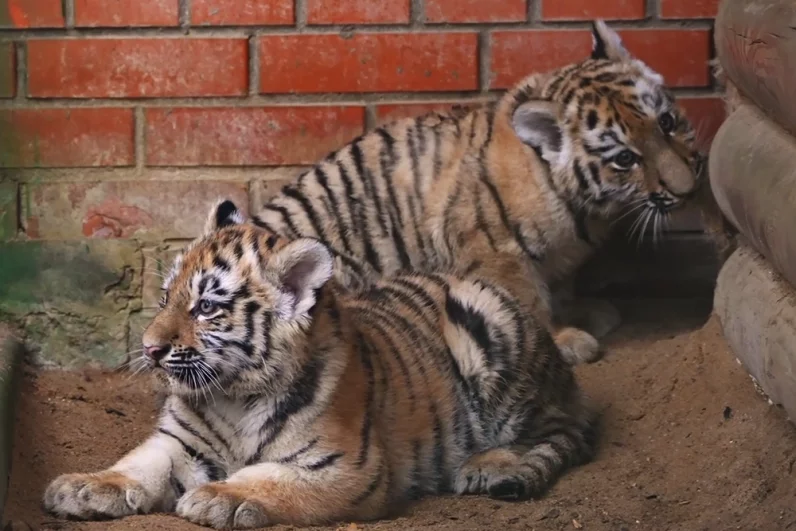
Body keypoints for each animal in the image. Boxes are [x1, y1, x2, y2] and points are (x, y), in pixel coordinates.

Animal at [42, 199, 597, 529]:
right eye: (165, 298)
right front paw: (84, 487)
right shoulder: (176, 443)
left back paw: (486, 466)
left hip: (494, 334)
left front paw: (217, 497)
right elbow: (135, 466)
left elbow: (268, 478)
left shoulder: (345, 466)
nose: (150, 348)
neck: (232, 396)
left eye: (205, 307)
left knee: (550, 431)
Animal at [250, 20, 706, 344]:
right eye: (625, 159)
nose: (689, 190)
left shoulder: (558, 258)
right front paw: (563, 340)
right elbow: (528, 302)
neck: (584, 205)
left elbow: (559, 289)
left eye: (666, 122)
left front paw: (586, 314)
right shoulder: (496, 252)